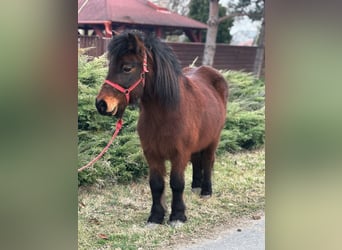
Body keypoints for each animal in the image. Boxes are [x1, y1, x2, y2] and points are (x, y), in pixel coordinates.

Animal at [96, 29, 228, 227]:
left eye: (127, 67)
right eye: (110, 66)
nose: (101, 104)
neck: (165, 115)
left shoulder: (179, 154)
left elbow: (177, 183)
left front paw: (178, 216)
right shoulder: (152, 154)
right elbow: (156, 184)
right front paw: (156, 217)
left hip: (213, 139)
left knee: (208, 160)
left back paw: (206, 190)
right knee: (197, 160)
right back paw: (196, 186)